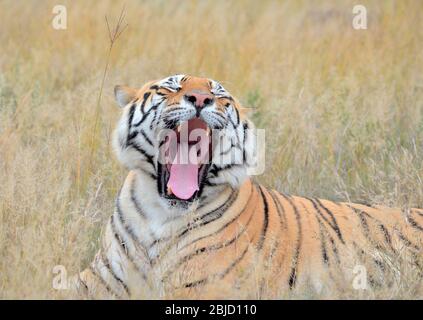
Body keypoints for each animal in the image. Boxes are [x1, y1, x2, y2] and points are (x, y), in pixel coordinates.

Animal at [74, 74, 422, 298]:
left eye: (219, 95)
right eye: (172, 86)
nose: (200, 98)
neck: (161, 214)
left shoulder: (203, 288)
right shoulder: (95, 280)